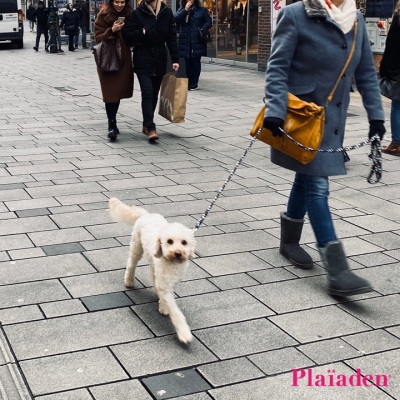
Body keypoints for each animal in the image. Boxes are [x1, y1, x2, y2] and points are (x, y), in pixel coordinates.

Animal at [108, 197, 196, 344]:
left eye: (184, 242)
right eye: (169, 241)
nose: (178, 253)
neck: (171, 262)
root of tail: (146, 214)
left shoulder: (170, 282)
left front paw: (163, 306)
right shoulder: (165, 285)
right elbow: (176, 312)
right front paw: (184, 333)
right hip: (137, 246)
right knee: (131, 263)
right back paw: (129, 281)